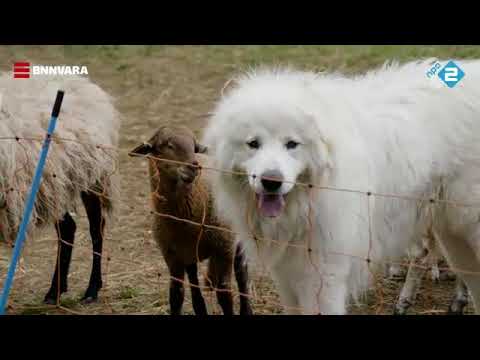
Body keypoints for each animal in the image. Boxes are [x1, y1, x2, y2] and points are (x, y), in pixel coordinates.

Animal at [0, 71, 120, 306]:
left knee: (96, 228)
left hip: (89, 176)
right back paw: (55, 291)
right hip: (54, 184)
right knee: (68, 228)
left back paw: (91, 289)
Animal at [202, 59, 480, 316]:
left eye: (292, 144)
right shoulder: (287, 277)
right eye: (253, 144)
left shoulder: (324, 280)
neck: (308, 201)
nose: (272, 181)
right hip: (455, 241)